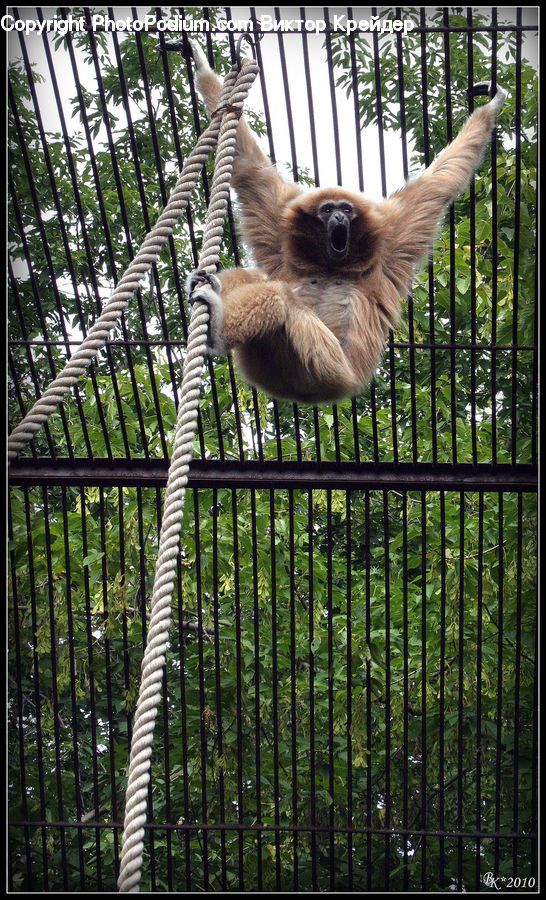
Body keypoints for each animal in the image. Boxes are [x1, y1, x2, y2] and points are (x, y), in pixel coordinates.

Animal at [187, 41, 506, 405]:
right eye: (328, 210)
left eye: (346, 210)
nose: (339, 216)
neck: (331, 267)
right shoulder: (281, 229)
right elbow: (249, 168)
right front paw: (200, 63)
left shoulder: (390, 238)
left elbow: (440, 183)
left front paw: (492, 104)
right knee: (255, 280)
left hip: (328, 369)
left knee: (279, 297)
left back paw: (215, 327)